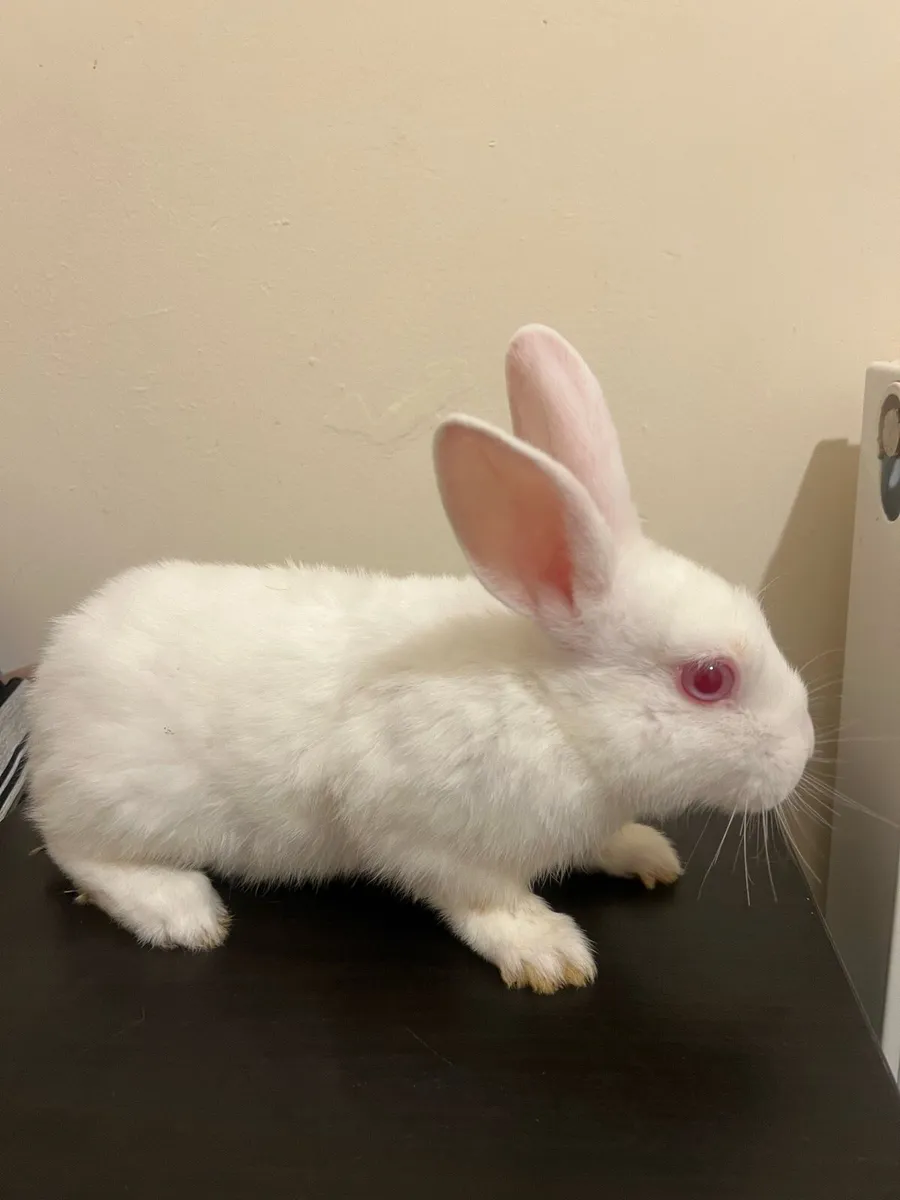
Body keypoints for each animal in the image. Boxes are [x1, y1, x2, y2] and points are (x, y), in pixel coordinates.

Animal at [26, 324, 814, 994]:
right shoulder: (420, 828)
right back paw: (182, 912)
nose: (803, 753)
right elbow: (480, 897)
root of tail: (56, 669)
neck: (553, 706)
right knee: (76, 850)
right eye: (708, 679)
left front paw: (646, 853)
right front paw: (546, 952)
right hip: (129, 806)